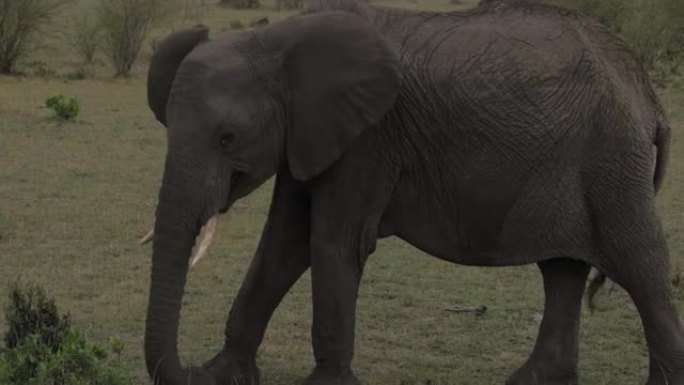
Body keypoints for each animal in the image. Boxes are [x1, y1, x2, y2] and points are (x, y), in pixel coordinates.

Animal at [142, 0, 680, 384]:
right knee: (562, 269)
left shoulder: (368, 141)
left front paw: (324, 384)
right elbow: (282, 245)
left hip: (613, 158)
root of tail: (647, 93)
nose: (187, 372)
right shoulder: (310, 135)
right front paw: (223, 374)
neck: (276, 42)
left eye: (227, 138)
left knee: (640, 266)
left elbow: (332, 244)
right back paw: (534, 380)